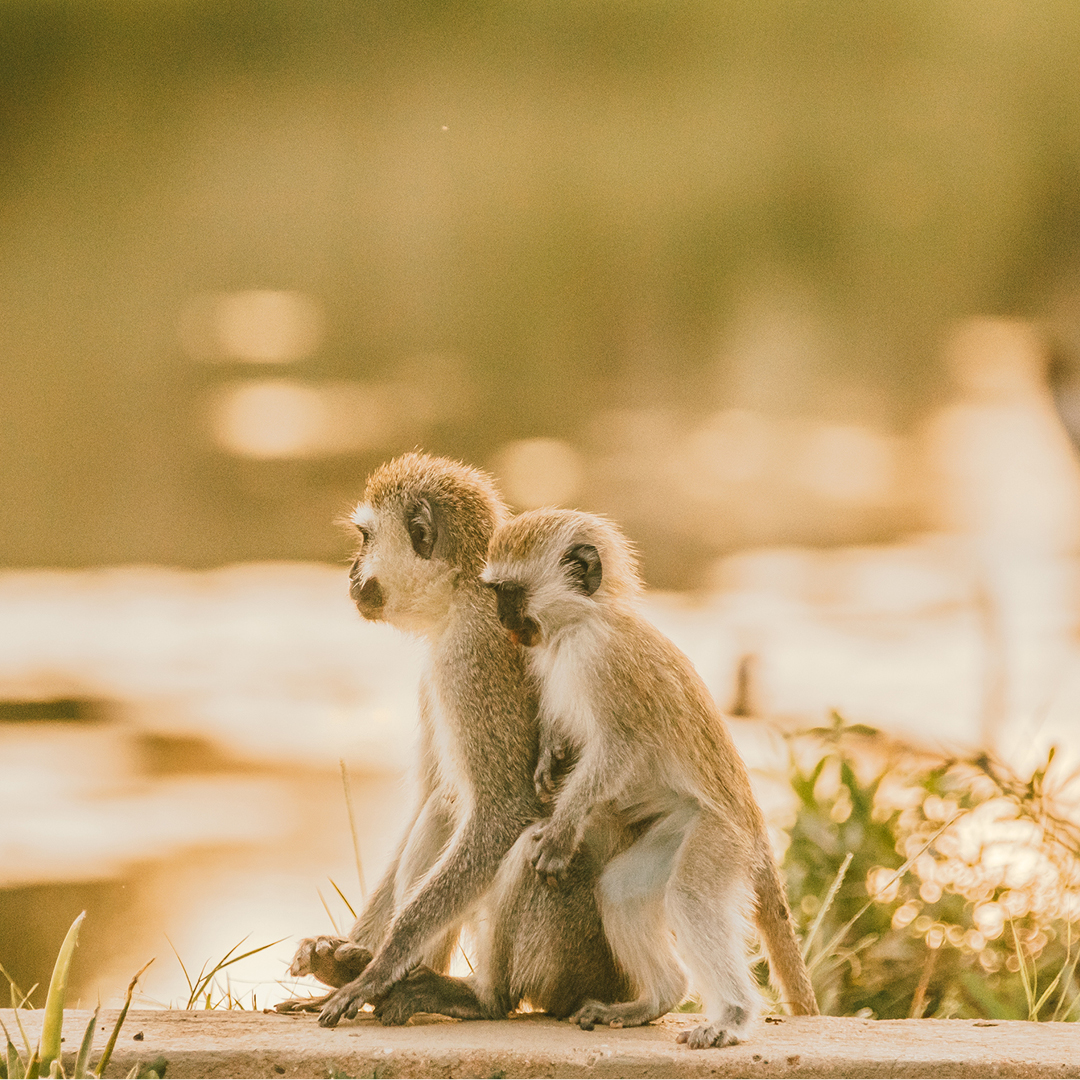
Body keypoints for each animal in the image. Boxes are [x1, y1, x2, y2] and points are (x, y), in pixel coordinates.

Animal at [277, 453, 631, 1028]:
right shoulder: (433, 676)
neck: (462, 591)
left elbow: (504, 813)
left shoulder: (467, 658)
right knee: (443, 806)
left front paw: (378, 968)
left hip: (572, 954)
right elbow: (430, 799)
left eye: (365, 538)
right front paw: (349, 957)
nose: (350, 573)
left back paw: (474, 997)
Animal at [482, 508, 820, 1049]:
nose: (502, 620)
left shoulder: (606, 663)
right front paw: (550, 758)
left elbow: (619, 749)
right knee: (621, 888)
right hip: (677, 823)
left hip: (720, 837)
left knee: (691, 896)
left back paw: (732, 1016)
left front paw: (560, 830)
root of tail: (756, 832)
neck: (585, 620)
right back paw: (657, 999)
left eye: (509, 593)